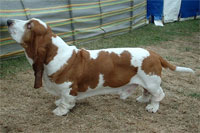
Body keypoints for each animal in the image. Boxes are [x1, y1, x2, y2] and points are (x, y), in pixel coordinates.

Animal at [7, 18, 195, 116]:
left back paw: (153, 107)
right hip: (147, 81)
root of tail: (155, 54)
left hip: (152, 81)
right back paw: (143, 99)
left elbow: (66, 102)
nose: (8, 20)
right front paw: (58, 103)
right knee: (146, 91)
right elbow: (61, 98)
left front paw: (60, 110)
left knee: (159, 94)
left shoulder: (68, 89)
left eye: (29, 25)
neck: (55, 54)